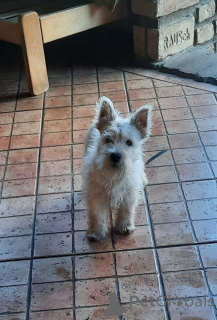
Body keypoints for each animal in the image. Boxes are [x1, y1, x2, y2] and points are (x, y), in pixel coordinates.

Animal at [82, 96, 152, 241]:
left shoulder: (129, 194)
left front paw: (125, 226)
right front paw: (96, 232)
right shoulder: (95, 194)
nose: (115, 156)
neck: (114, 174)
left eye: (129, 142)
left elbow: (126, 210)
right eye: (108, 139)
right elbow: (96, 214)